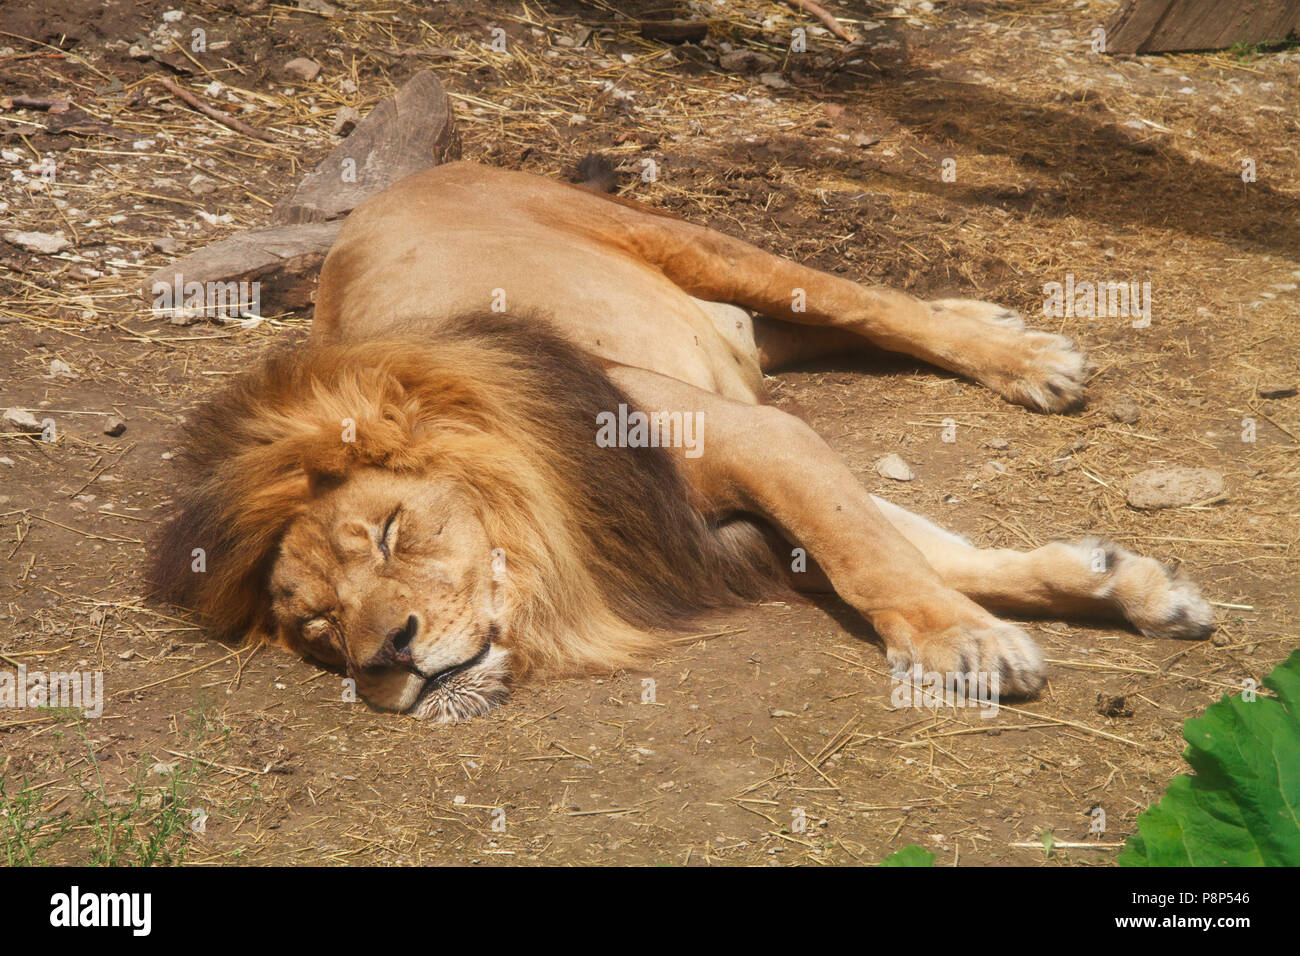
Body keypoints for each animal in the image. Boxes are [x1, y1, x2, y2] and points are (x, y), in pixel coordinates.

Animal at [147, 160, 1211, 723]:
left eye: (390, 532)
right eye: (318, 632)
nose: (386, 658)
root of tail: (410, 177)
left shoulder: (758, 437)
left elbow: (873, 557)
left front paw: (963, 646)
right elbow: (922, 551)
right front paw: (1123, 585)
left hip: (687, 241)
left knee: (861, 301)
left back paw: (1024, 356)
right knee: (802, 327)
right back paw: (989, 319)